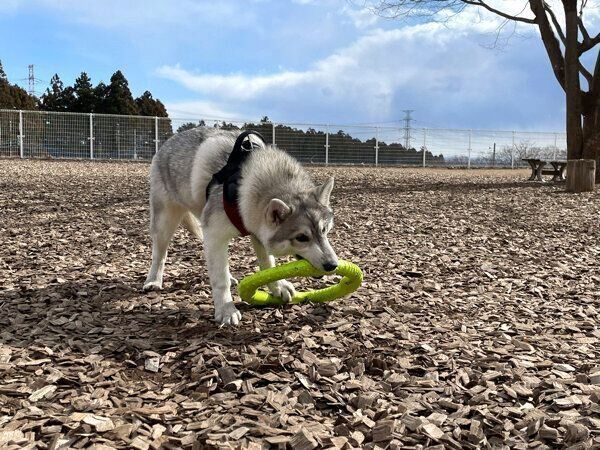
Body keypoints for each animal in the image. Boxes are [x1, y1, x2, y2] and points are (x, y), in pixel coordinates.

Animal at [141, 128, 338, 326]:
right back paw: (153, 280)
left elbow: (268, 264)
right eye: (301, 238)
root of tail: (168, 142)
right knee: (160, 254)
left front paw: (278, 286)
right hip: (164, 222)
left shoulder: (257, 232)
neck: (242, 185)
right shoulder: (214, 234)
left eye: (324, 230)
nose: (333, 265)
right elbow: (220, 279)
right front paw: (226, 309)